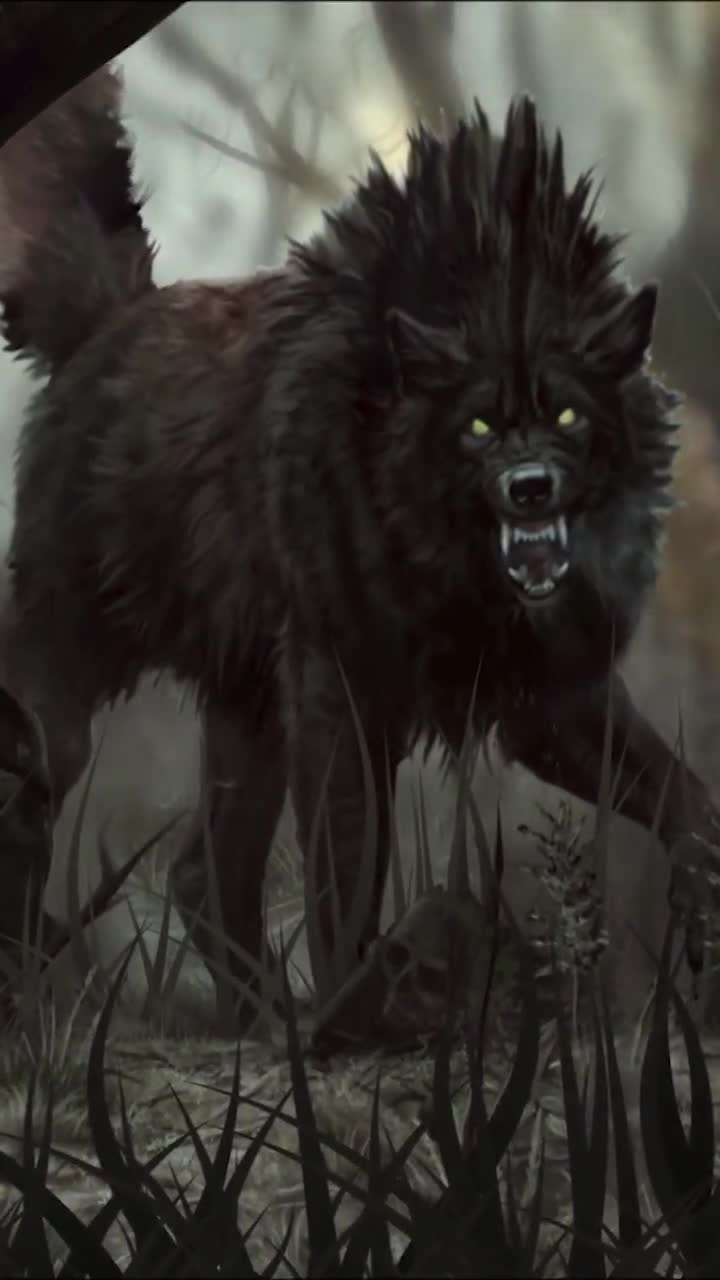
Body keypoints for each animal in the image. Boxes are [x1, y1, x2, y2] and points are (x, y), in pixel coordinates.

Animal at [1, 68, 719, 1021]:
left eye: (568, 413)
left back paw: (261, 1018)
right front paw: (357, 1001)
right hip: (77, 678)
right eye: (478, 425)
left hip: (250, 707)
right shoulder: (342, 695)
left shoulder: (553, 700)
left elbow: (683, 794)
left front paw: (704, 909)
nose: (530, 487)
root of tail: (108, 320)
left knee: (203, 870)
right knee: (42, 793)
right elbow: (346, 871)